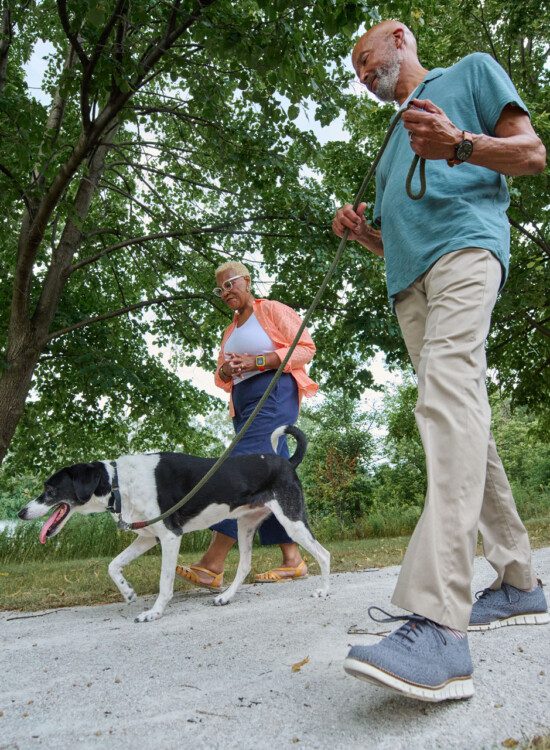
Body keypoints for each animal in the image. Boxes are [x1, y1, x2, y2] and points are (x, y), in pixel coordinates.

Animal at [17, 426, 330, 624]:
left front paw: (154, 613)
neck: (119, 483)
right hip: (245, 526)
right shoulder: (147, 537)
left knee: (324, 554)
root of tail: (287, 463)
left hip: (291, 521)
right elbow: (113, 565)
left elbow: (164, 582)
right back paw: (226, 597)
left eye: (49, 489)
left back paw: (324, 591)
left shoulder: (170, 537)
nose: (21, 512)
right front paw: (127, 592)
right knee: (244, 565)